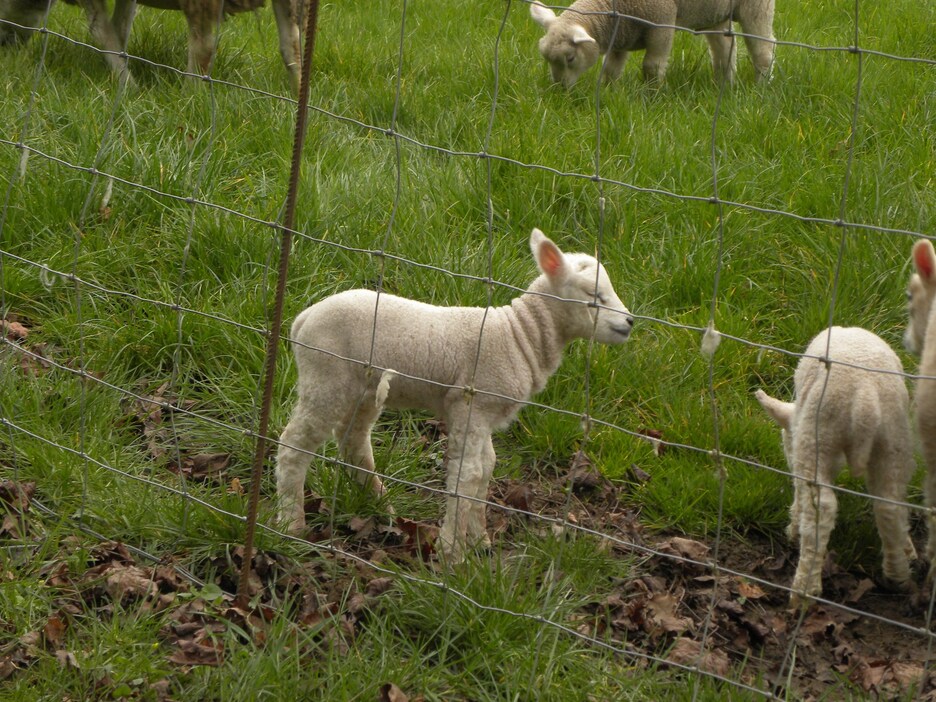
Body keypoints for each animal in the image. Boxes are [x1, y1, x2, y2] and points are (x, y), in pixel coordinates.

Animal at [272, 228, 636, 564]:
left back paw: (381, 503)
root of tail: (303, 319)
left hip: (362, 389)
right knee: (294, 445)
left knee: (353, 440)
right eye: (593, 296)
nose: (630, 322)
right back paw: (292, 523)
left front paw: (479, 540)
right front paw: (452, 551)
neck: (520, 334)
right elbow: (467, 475)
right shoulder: (468, 404)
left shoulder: (485, 415)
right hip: (326, 378)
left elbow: (485, 470)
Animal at [528, 0, 776, 88]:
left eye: (570, 58)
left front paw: (653, 94)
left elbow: (651, 66)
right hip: (715, 14)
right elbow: (611, 68)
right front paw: (609, 89)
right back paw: (723, 86)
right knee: (724, 50)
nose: (559, 88)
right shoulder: (621, 34)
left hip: (757, 7)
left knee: (763, 51)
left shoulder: (661, 22)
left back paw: (761, 89)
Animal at [752, 328, 916, 608]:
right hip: (893, 440)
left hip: (818, 433)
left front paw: (793, 529)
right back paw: (897, 575)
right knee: (889, 505)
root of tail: (865, 398)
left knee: (821, 507)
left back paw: (803, 590)